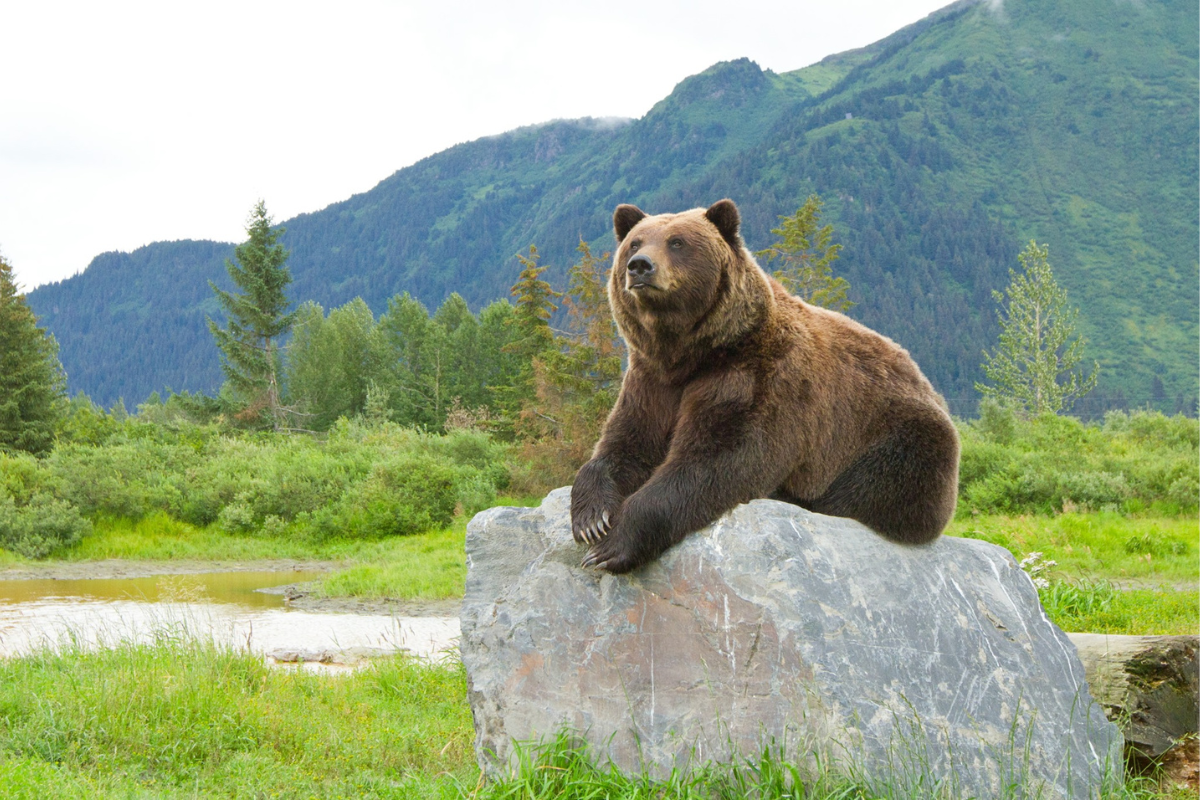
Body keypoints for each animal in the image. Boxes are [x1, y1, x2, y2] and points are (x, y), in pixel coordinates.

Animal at [571, 200, 955, 575]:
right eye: (634, 243)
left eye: (677, 242)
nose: (639, 266)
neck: (693, 354)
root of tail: (928, 385)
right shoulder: (652, 381)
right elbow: (626, 443)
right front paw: (591, 518)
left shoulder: (757, 379)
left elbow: (717, 462)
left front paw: (611, 545)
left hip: (896, 434)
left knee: (874, 488)